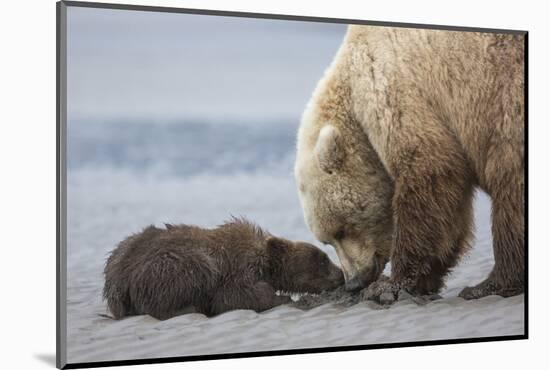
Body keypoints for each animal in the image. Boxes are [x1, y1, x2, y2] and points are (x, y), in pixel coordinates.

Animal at [296, 25, 528, 304]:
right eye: (326, 240)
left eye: (341, 230)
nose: (353, 282)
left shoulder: (394, 88)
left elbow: (430, 175)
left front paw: (391, 285)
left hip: (506, 100)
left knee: (509, 183)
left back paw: (489, 284)